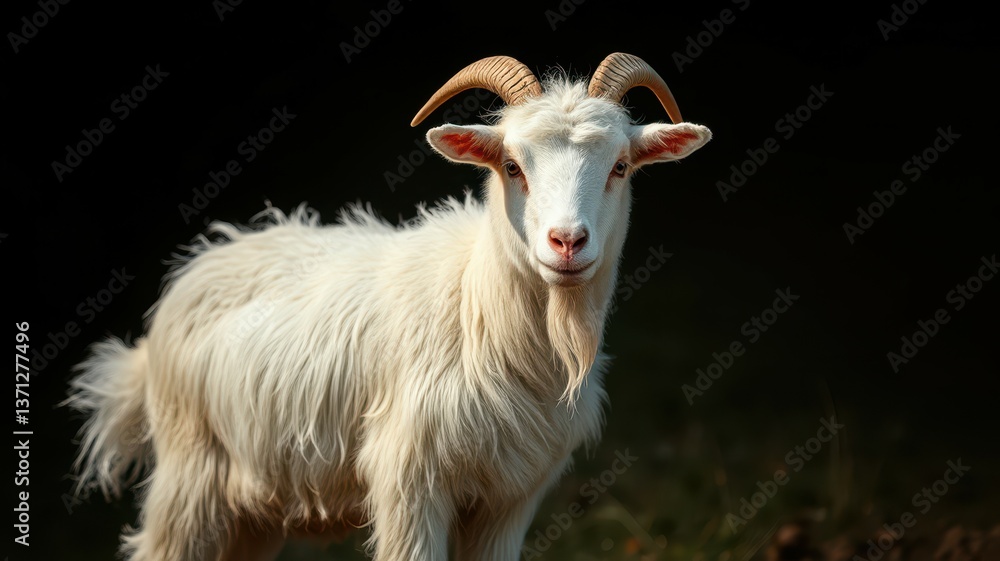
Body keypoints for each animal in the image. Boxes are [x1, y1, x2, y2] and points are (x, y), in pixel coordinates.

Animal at [66, 53, 712, 561]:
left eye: (620, 167)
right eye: (511, 166)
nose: (567, 242)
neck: (482, 313)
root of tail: (203, 259)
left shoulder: (508, 500)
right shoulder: (408, 483)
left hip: (254, 507)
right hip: (189, 479)